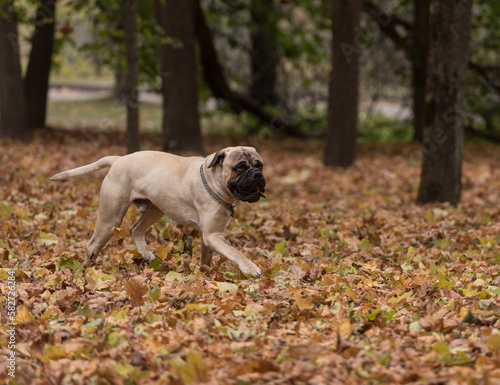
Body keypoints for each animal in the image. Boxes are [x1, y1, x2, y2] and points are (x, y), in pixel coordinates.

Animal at [51, 146, 266, 276]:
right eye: (240, 167)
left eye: (260, 165)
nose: (257, 175)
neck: (214, 182)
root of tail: (119, 159)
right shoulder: (213, 235)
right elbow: (236, 252)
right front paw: (251, 268)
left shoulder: (211, 236)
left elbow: (207, 259)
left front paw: (206, 276)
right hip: (111, 217)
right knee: (92, 245)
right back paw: (89, 270)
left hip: (155, 210)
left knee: (136, 229)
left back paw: (146, 253)